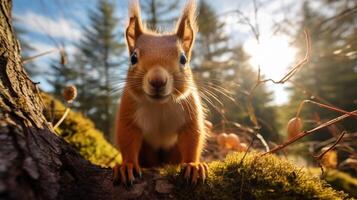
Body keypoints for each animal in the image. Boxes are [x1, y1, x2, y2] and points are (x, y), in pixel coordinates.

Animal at [112, 0, 207, 185]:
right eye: (133, 58)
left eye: (183, 59)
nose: (157, 80)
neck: (160, 105)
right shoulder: (128, 109)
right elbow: (127, 137)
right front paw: (126, 166)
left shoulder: (190, 110)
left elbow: (193, 137)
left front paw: (193, 166)